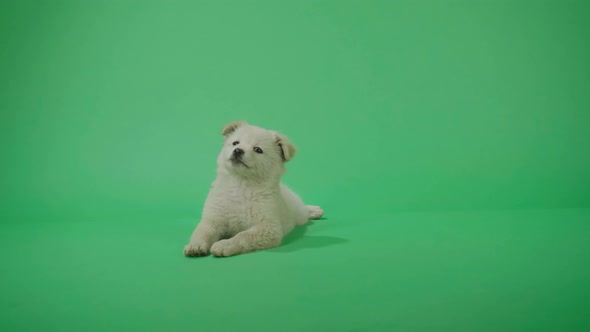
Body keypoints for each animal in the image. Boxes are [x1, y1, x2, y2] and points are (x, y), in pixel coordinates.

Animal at [184, 121, 324, 256]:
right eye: (235, 143)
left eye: (258, 150)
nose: (238, 150)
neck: (240, 185)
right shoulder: (212, 220)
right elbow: (202, 233)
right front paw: (195, 245)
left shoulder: (267, 227)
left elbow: (242, 236)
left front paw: (224, 245)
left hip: (298, 214)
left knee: (304, 211)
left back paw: (315, 211)